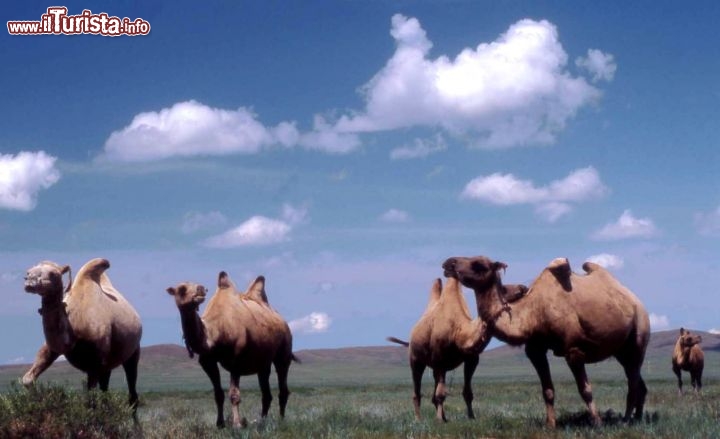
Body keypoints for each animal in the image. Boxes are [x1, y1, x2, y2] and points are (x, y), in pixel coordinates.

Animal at [21, 260, 143, 410]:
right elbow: (28, 379)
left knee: (132, 394)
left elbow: (90, 400)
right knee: (105, 389)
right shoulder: (52, 348)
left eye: (53, 273)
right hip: (108, 362)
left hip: (133, 351)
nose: (30, 280)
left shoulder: (95, 362)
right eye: (28, 271)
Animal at [388, 276, 528, 422]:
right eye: (503, 288)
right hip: (415, 359)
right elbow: (441, 393)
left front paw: (471, 417)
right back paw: (419, 419)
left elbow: (467, 392)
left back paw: (444, 417)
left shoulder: (471, 359)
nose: (523, 288)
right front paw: (439, 420)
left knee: (434, 389)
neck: (458, 333)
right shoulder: (440, 360)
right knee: (417, 390)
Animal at [444, 256, 652, 428]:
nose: (448, 263)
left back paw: (626, 420)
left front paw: (597, 423)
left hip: (639, 336)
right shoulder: (535, 349)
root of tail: (636, 301)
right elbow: (547, 390)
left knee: (633, 383)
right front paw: (550, 424)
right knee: (638, 382)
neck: (535, 313)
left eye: (479, 264)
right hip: (622, 351)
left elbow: (585, 390)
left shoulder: (574, 350)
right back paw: (637, 419)